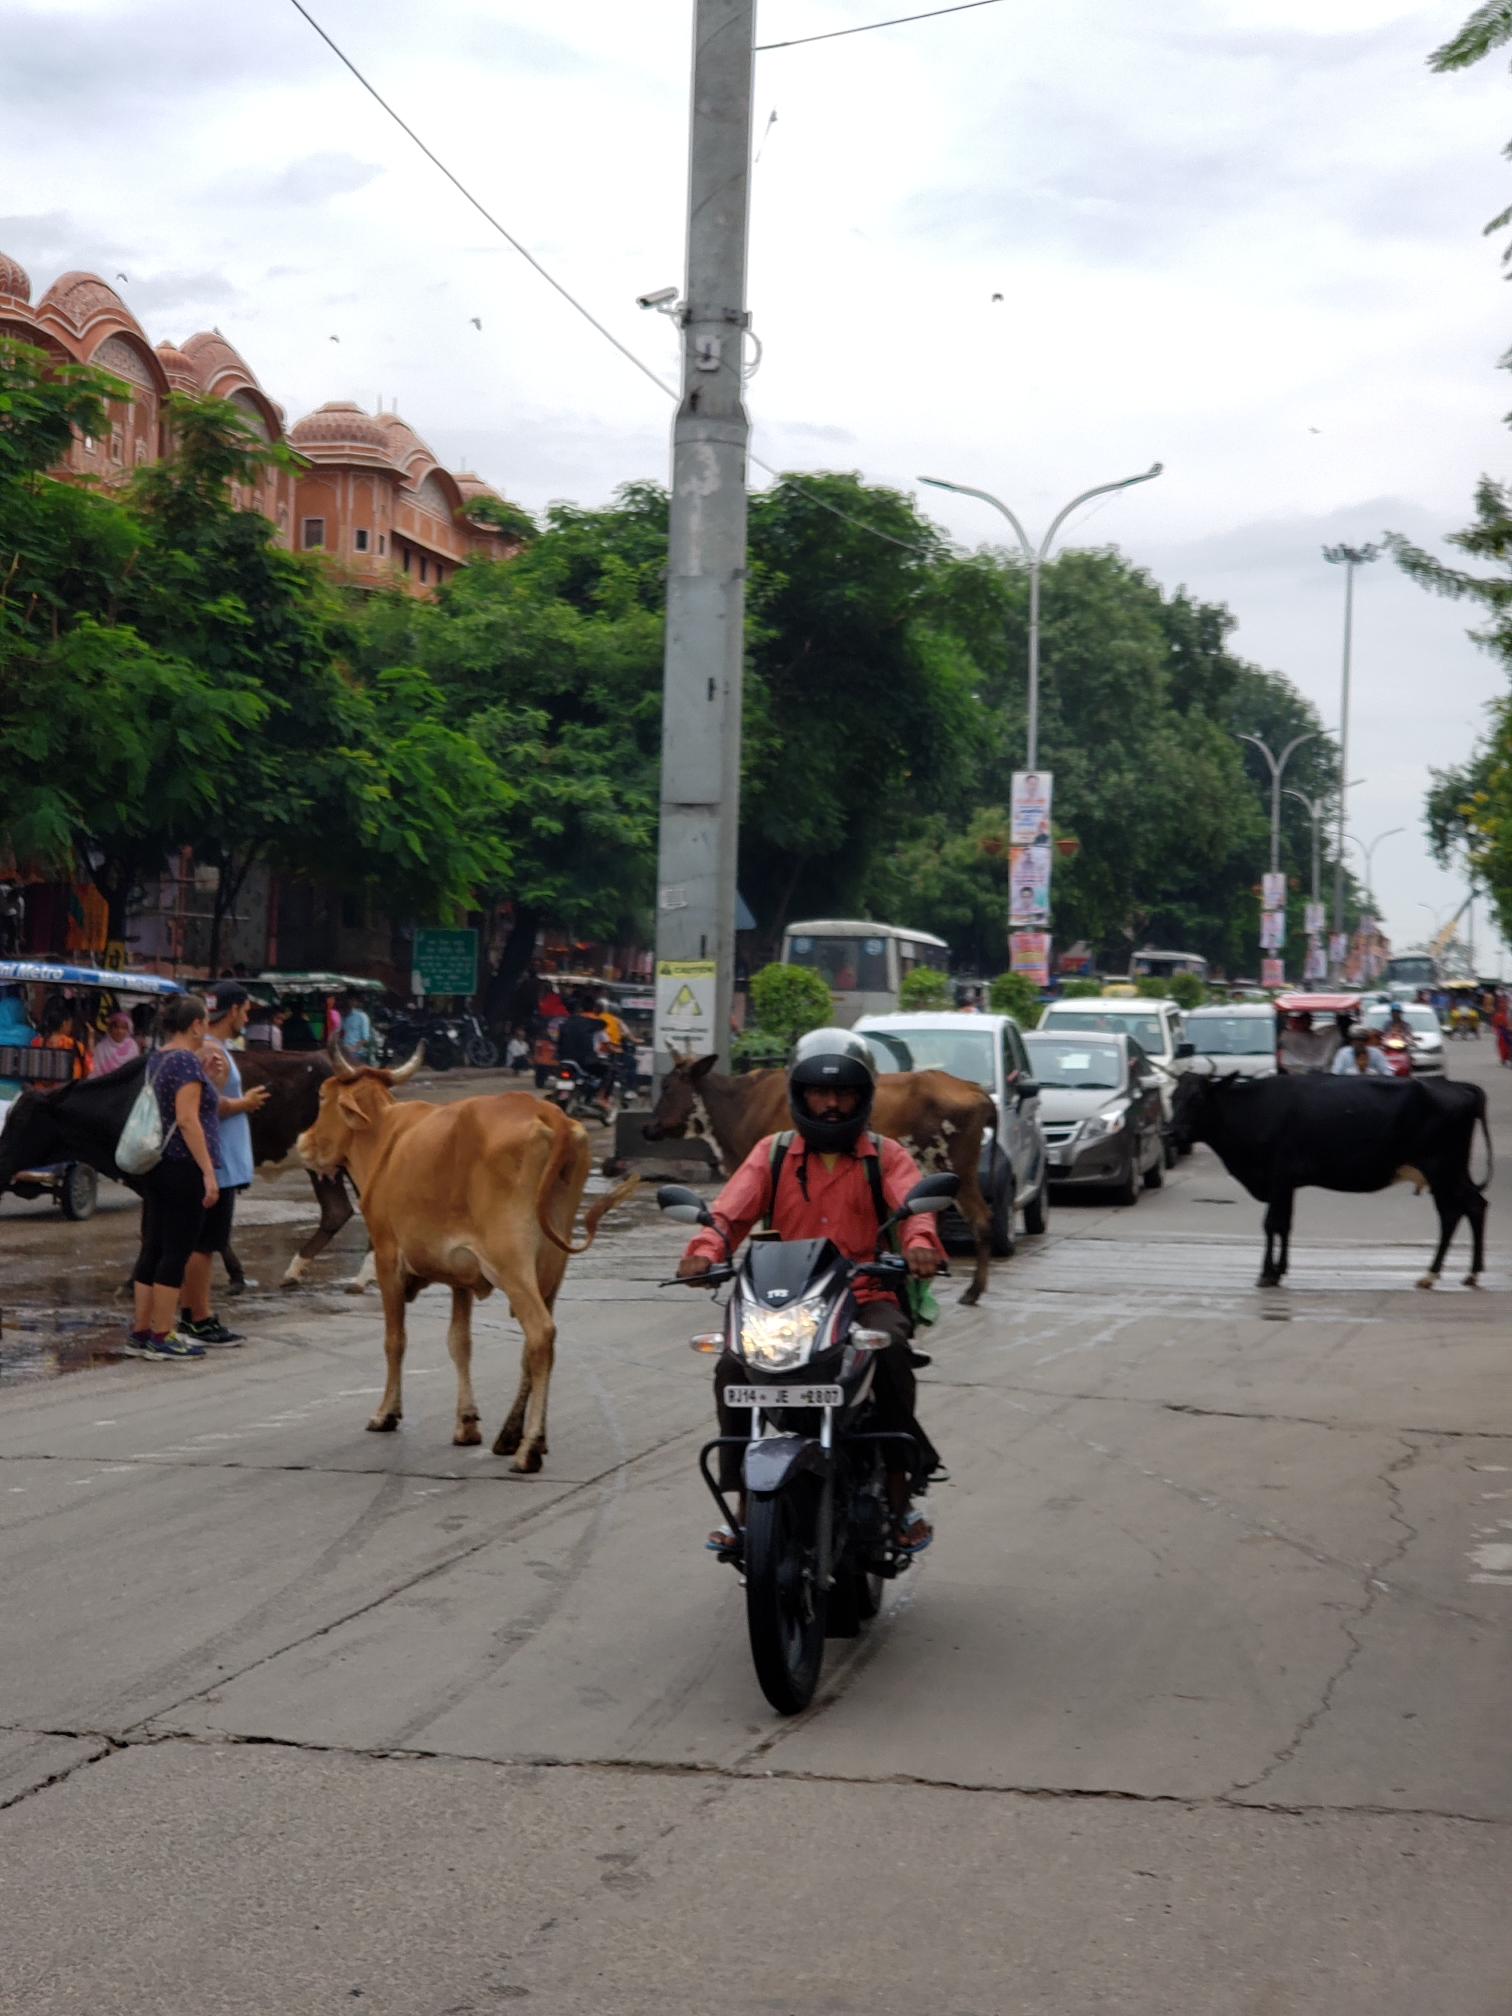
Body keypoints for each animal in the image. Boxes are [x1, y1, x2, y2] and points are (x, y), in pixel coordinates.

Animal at [0, 1048, 364, 1282]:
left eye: (20, 1117)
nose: (1, 1162)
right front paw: (236, 1275)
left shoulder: (157, 1183)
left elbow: (152, 1233)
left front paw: (132, 1282)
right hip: (322, 1168)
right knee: (337, 1211)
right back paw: (294, 1271)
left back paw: (360, 1278)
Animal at [302, 1064, 641, 1475]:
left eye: (322, 1096)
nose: (303, 1142)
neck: (386, 1138)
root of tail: (550, 1114)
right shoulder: (461, 1277)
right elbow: (459, 1344)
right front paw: (466, 1423)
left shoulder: (387, 1257)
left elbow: (395, 1341)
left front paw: (386, 1413)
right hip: (551, 1265)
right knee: (534, 1344)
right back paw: (515, 1435)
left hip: (511, 1261)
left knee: (540, 1333)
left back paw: (528, 1447)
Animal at [645, 1056, 999, 1306]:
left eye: (668, 1087)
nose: (648, 1127)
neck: (740, 1104)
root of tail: (975, 1088)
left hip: (958, 1168)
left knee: (982, 1219)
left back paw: (973, 1291)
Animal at [1169, 1072, 1491, 1290]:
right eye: (1172, 1097)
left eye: (1198, 1099)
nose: (1168, 1132)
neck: (1254, 1110)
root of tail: (1458, 1085)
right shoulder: (1286, 1184)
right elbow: (1284, 1224)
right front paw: (1279, 1270)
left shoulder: (1278, 1177)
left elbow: (1271, 1223)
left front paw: (1266, 1273)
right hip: (1455, 1172)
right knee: (1475, 1205)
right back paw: (1472, 1272)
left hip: (1441, 1169)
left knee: (1451, 1214)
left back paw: (1430, 1274)